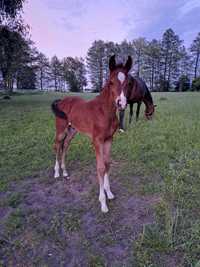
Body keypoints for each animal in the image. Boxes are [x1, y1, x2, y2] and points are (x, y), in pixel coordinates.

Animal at [50, 55, 132, 214]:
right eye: (111, 82)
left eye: (128, 82)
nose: (121, 103)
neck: (105, 112)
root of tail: (62, 100)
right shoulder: (97, 140)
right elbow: (100, 167)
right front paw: (103, 203)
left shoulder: (109, 139)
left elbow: (107, 164)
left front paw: (109, 193)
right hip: (61, 129)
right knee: (57, 145)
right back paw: (56, 172)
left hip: (72, 131)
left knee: (65, 146)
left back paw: (65, 171)